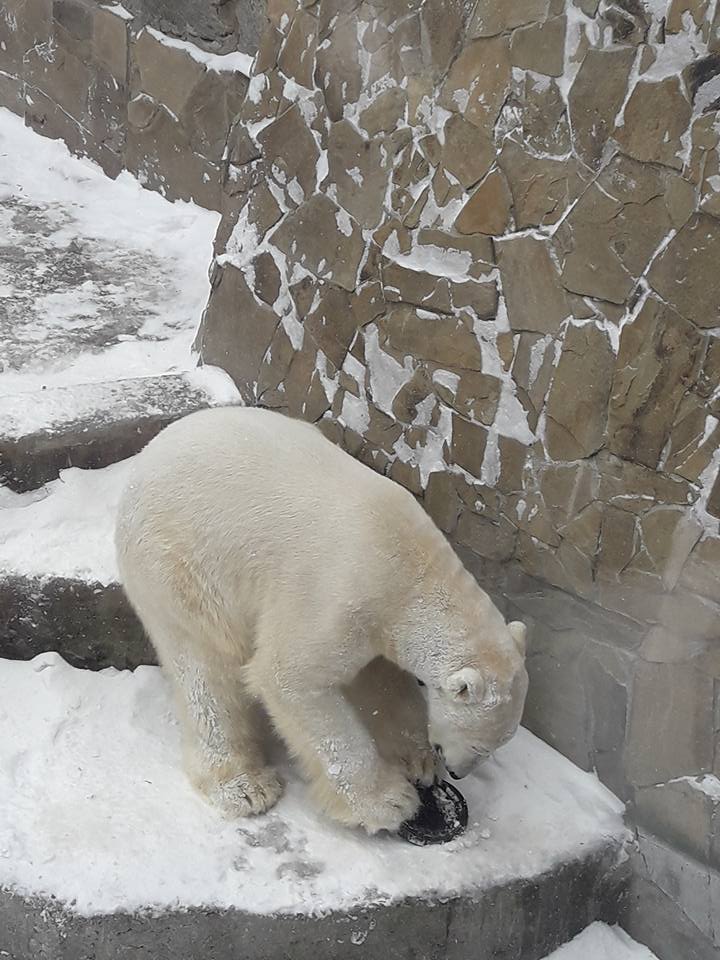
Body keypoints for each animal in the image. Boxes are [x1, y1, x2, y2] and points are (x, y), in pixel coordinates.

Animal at [114, 404, 528, 832]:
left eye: (498, 745)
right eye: (480, 744)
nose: (460, 771)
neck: (411, 570)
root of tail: (145, 459)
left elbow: (380, 679)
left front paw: (418, 760)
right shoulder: (336, 596)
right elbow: (292, 681)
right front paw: (389, 801)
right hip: (181, 563)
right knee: (205, 668)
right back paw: (245, 787)